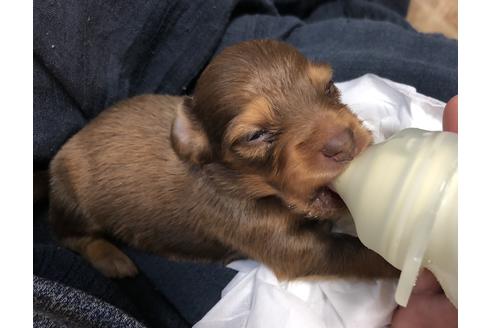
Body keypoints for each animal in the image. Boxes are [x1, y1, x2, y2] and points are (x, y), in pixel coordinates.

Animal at [48, 38, 398, 280]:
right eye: (255, 135)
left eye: (328, 86)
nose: (344, 143)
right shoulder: (284, 244)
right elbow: (356, 252)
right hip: (74, 201)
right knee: (70, 236)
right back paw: (111, 258)